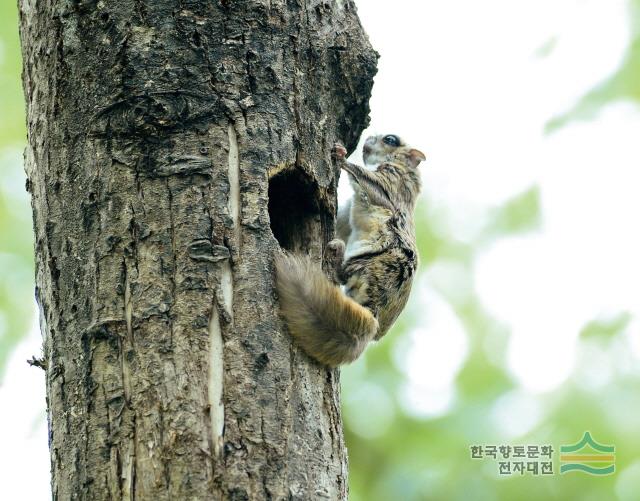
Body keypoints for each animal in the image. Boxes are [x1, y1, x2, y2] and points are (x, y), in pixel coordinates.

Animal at [274, 135, 424, 366]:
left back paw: (336, 252)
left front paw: (341, 155)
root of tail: (374, 313)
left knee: (342, 275)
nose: (368, 138)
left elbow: (365, 178)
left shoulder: (390, 183)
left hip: (369, 260)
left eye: (390, 139)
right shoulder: (346, 216)